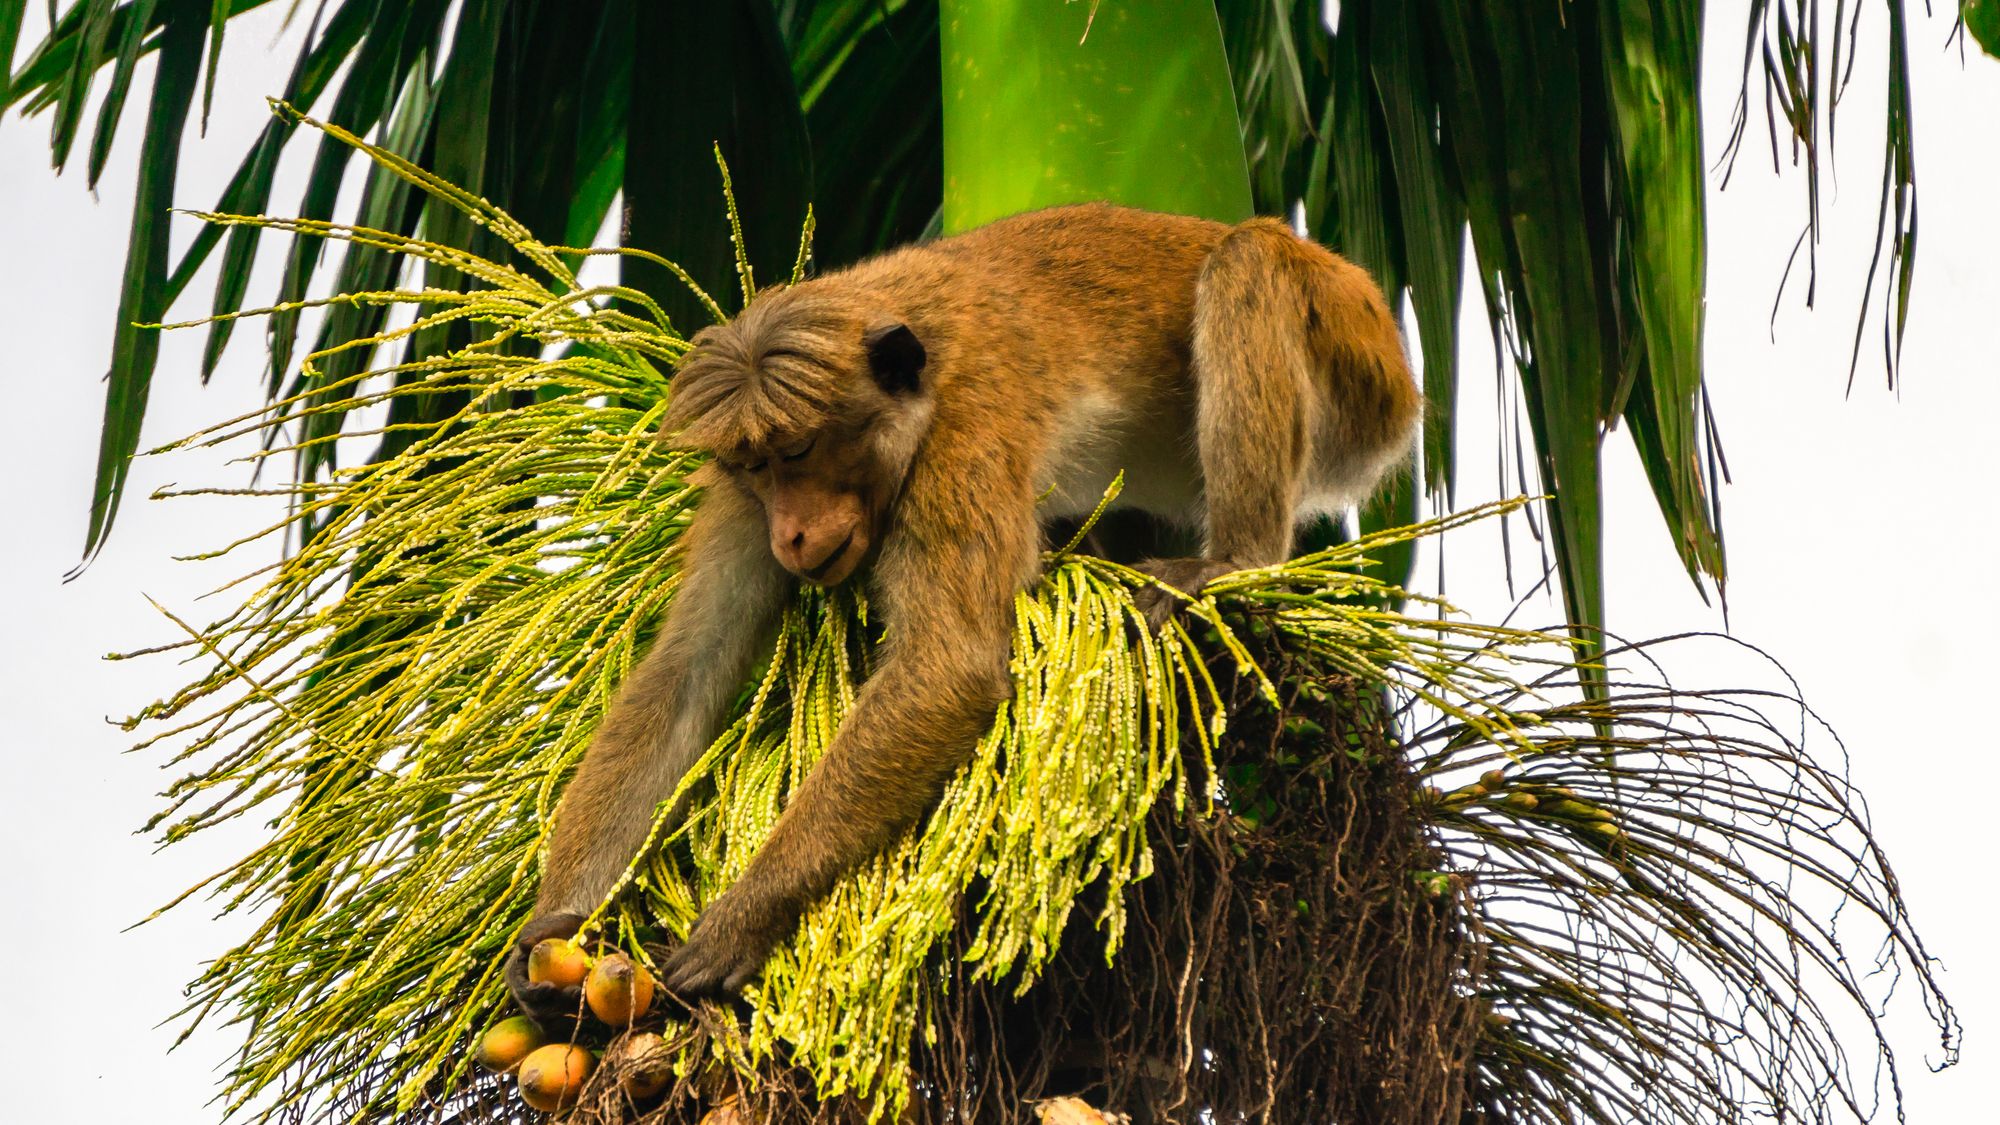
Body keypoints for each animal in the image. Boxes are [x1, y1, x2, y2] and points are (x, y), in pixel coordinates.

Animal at [508, 201, 1432, 1016]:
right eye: (757, 466)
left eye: (799, 450)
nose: (793, 534)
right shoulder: (744, 509)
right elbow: (684, 678)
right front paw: (554, 925)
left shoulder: (965, 436)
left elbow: (947, 668)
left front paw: (745, 916)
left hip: (1354, 356)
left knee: (1247, 263)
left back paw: (1235, 558)